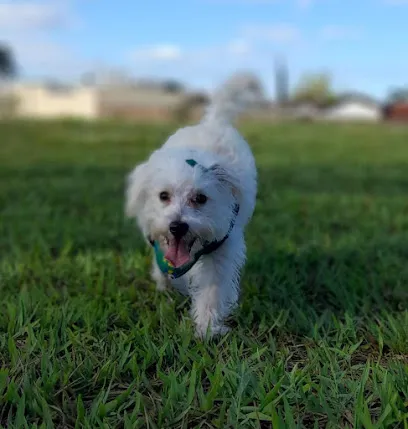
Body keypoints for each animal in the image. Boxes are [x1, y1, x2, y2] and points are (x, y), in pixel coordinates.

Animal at [124, 74, 258, 338]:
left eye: (201, 198)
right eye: (163, 195)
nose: (177, 227)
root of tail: (213, 121)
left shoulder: (222, 250)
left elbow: (212, 291)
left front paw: (206, 327)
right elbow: (163, 267)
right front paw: (166, 287)